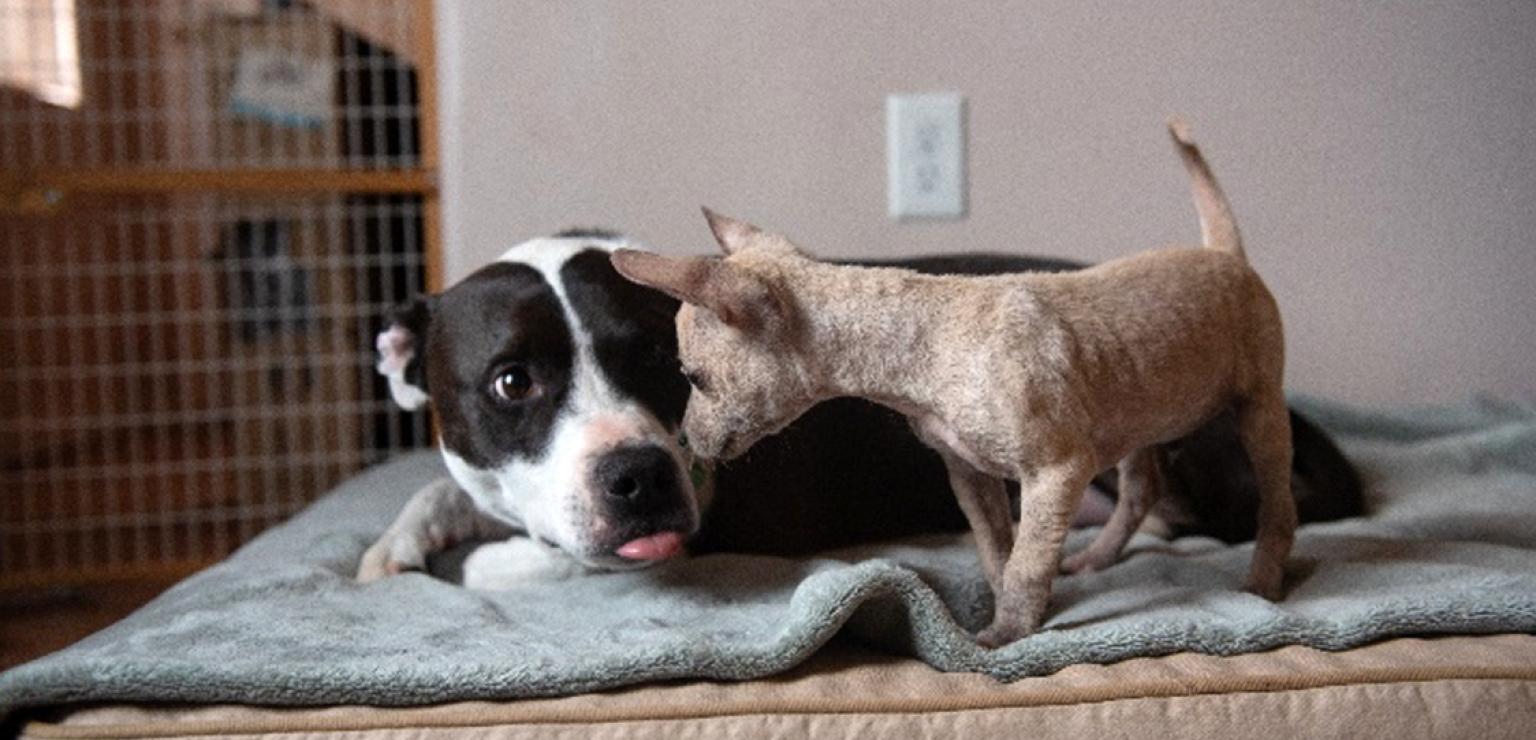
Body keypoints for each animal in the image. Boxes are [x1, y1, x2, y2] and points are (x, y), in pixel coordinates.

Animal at [356, 228, 1357, 586]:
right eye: (512, 383)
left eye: (662, 362)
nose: (640, 476)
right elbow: (443, 491)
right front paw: (396, 540)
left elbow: (512, 564)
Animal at [611, 121, 1296, 647]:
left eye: (691, 377)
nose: (687, 444)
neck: (927, 346)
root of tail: (1224, 254)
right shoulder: (967, 472)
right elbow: (998, 552)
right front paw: (999, 614)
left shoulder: (1057, 472)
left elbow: (1026, 564)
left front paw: (1007, 635)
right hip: (1138, 414)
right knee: (1141, 490)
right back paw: (1097, 558)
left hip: (1259, 411)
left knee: (1276, 506)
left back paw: (1263, 584)